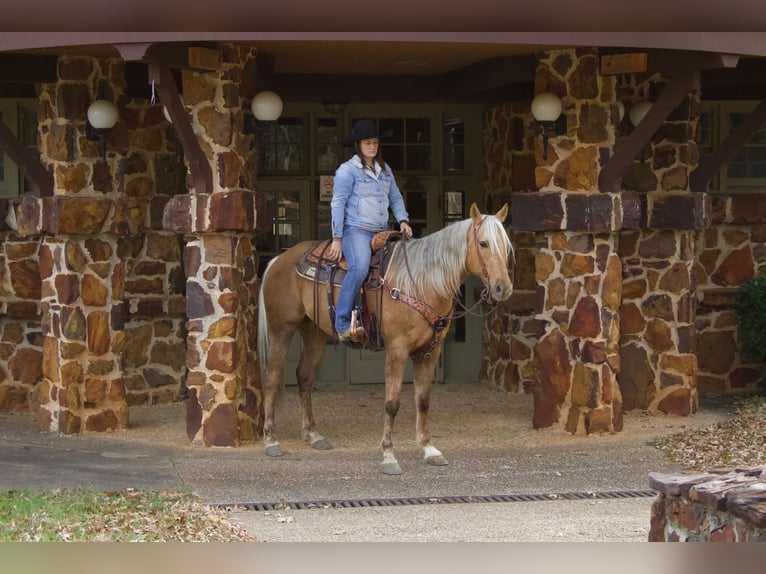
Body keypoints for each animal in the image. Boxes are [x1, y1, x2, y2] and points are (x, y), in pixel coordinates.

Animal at [258, 205, 516, 474]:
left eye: (506, 245)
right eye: (483, 243)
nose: (503, 288)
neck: (421, 282)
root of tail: (278, 260)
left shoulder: (430, 351)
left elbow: (423, 400)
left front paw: (429, 449)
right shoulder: (397, 350)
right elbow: (392, 403)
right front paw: (389, 455)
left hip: (314, 333)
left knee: (305, 375)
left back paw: (313, 434)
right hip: (282, 329)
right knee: (272, 377)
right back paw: (271, 440)